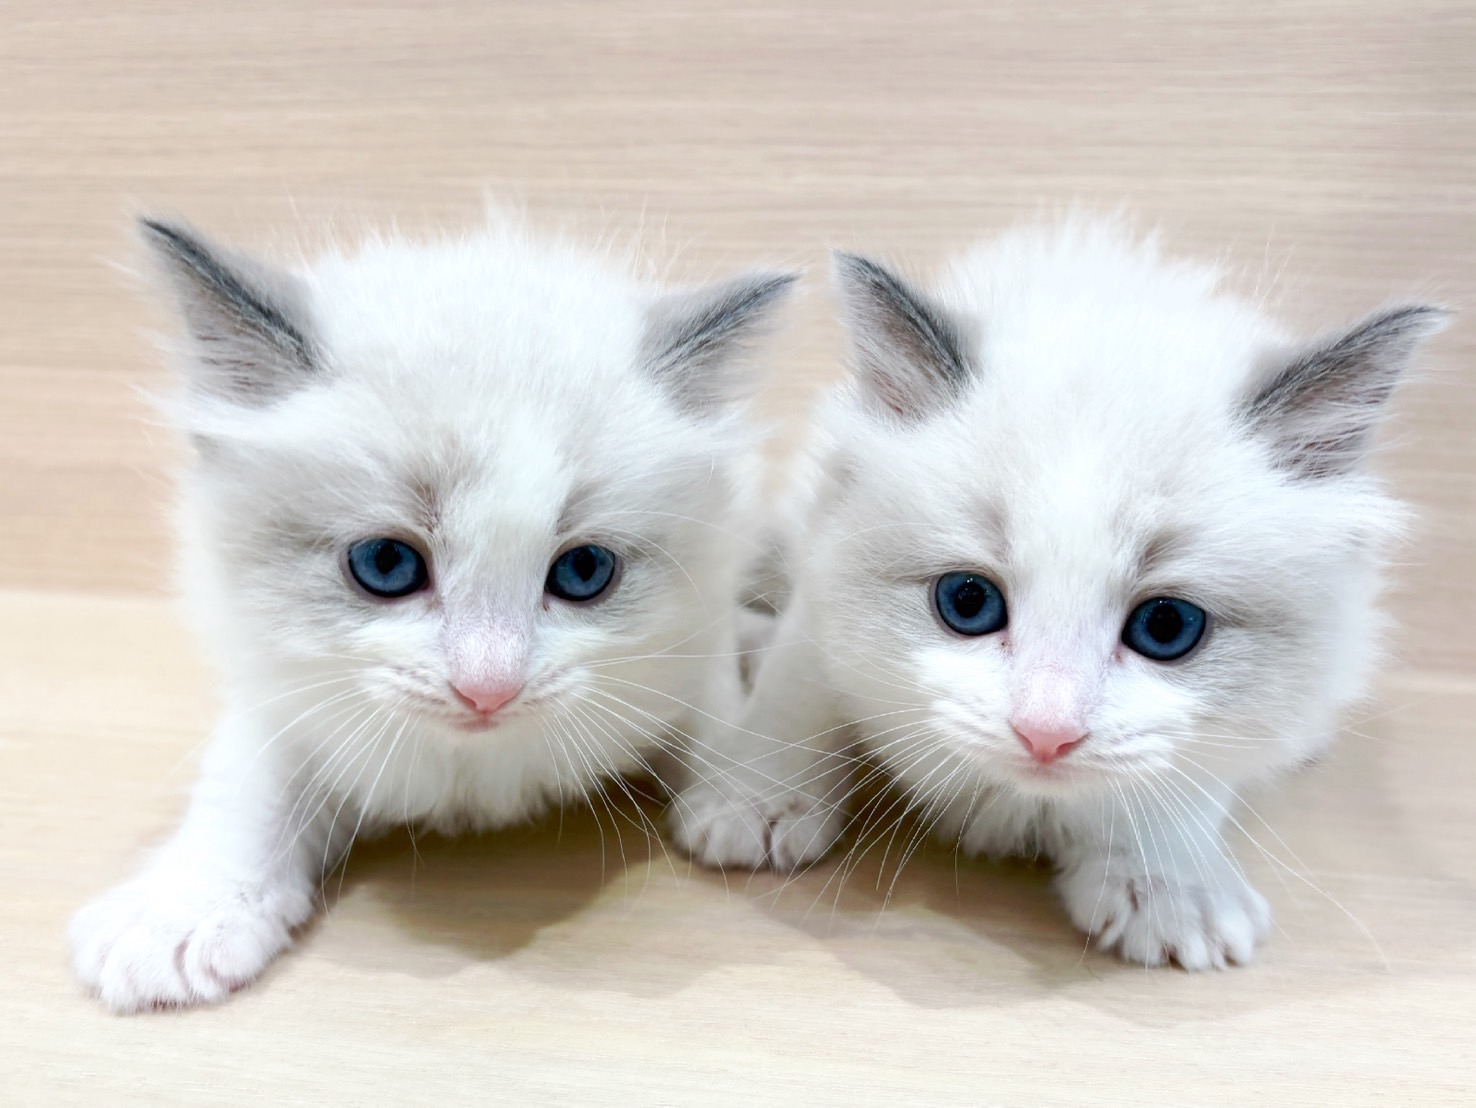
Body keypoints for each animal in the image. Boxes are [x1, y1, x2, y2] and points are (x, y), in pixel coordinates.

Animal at [69, 213, 796, 1011]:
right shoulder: (280, 699)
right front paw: (179, 914)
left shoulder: (689, 648)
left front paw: (753, 794)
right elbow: (244, 795)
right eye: (386, 565)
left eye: (584, 571)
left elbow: (725, 717)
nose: (488, 690)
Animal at [671, 216, 1445, 970]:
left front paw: (1168, 887)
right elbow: (796, 695)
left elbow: (1180, 781)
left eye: (1167, 627)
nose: (1046, 735)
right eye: (968, 603)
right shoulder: (821, 579)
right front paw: (754, 801)